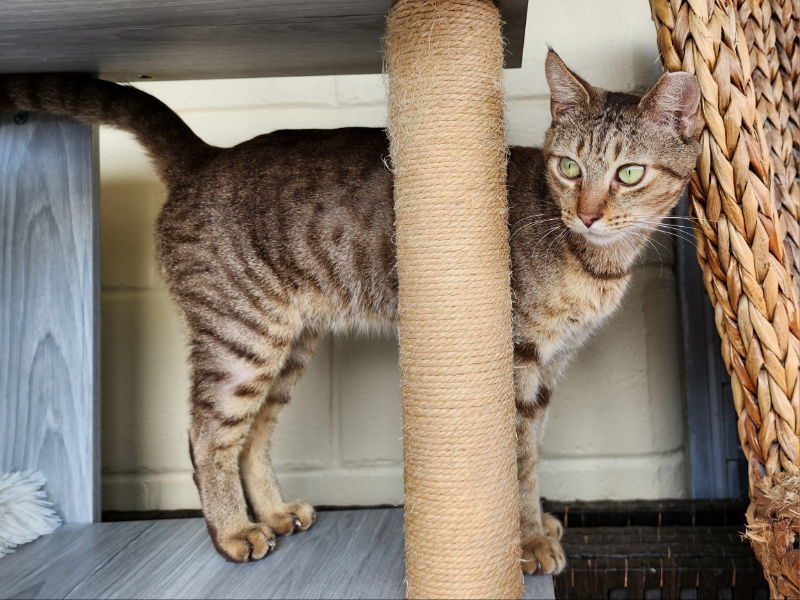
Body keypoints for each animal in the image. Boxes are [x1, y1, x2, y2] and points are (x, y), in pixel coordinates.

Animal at [0, 50, 700, 572]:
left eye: (630, 173)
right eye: (570, 167)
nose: (588, 213)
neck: (592, 263)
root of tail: (207, 155)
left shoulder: (549, 371)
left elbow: (534, 461)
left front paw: (537, 525)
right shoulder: (518, 361)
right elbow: (520, 461)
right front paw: (525, 543)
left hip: (287, 346)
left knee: (254, 436)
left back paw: (273, 513)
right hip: (241, 340)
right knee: (206, 435)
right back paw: (232, 532)